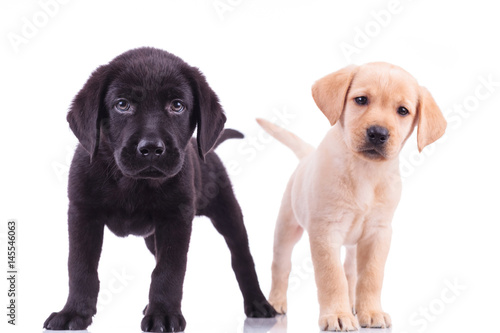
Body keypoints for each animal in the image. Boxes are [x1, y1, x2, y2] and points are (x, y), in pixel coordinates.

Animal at [43, 46, 276, 330]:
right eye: (122, 104)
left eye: (177, 105)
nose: (152, 148)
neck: (132, 182)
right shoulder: (82, 213)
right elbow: (80, 267)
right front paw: (74, 313)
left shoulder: (176, 219)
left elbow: (169, 270)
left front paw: (164, 314)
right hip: (152, 237)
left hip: (227, 213)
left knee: (242, 257)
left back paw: (258, 303)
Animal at [258, 61, 446, 330]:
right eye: (361, 99)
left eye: (403, 110)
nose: (378, 133)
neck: (365, 171)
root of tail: (307, 155)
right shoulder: (325, 231)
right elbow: (331, 276)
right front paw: (337, 314)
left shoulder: (379, 233)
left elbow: (371, 275)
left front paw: (371, 311)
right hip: (286, 228)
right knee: (281, 266)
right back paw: (276, 301)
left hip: (353, 245)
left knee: (350, 272)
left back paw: (354, 305)